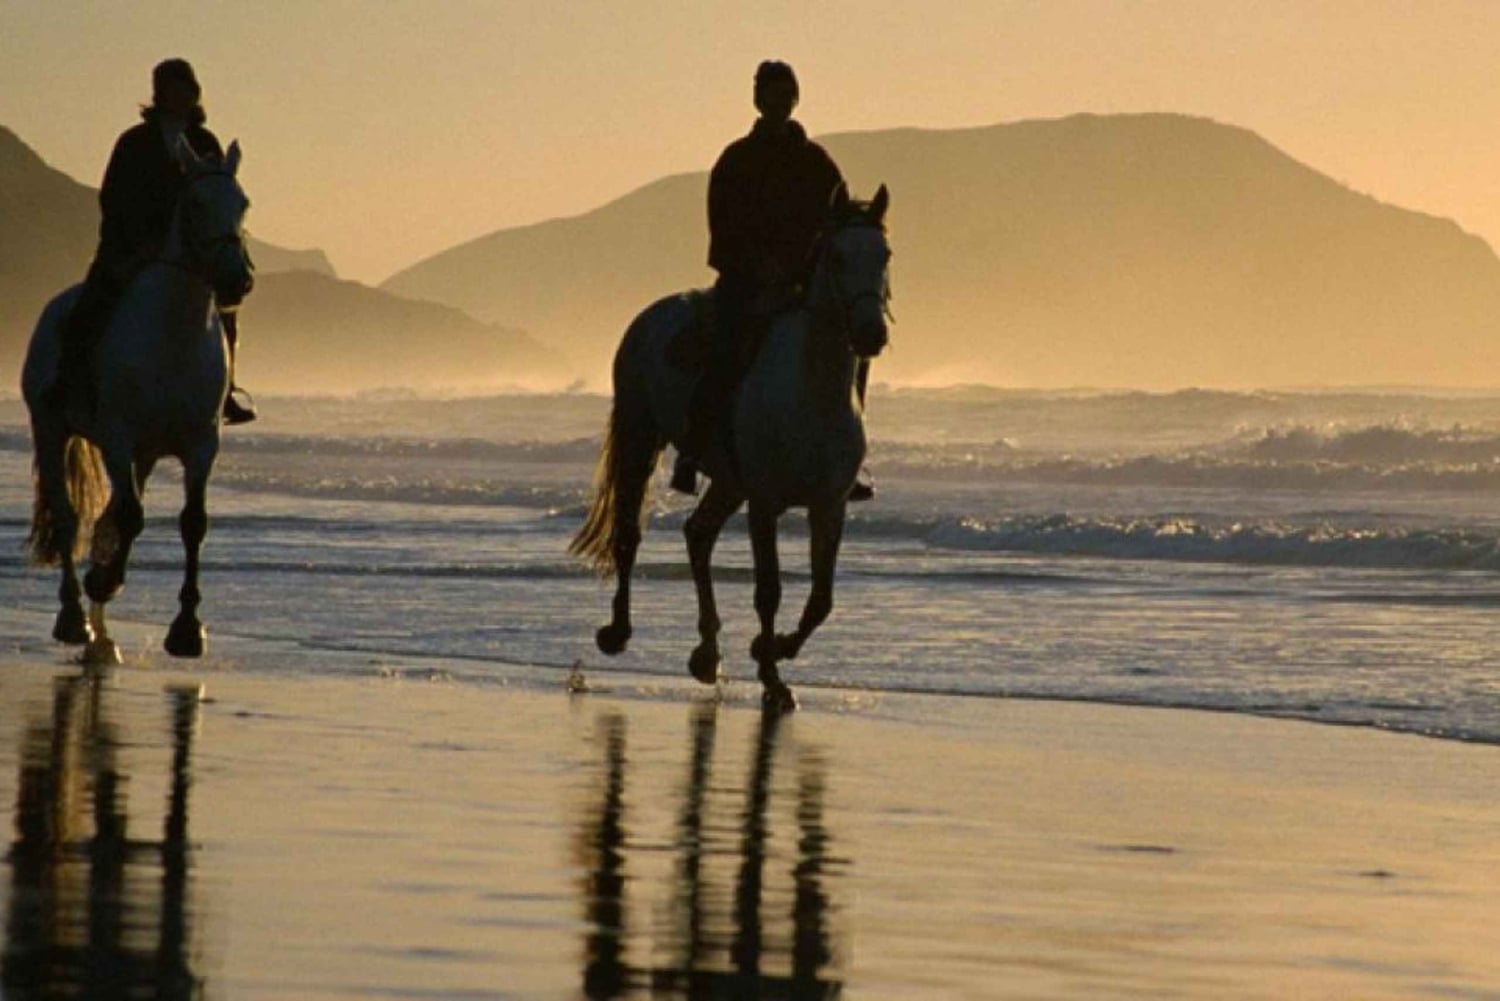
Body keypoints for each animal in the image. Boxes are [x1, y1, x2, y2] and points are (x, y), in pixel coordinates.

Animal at [20, 137, 255, 666]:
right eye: (195, 204)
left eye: (243, 204)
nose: (237, 279)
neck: (173, 338)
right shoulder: (118, 437)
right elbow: (127, 517)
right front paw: (102, 583)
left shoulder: (201, 444)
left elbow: (190, 523)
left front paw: (186, 628)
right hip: (51, 427)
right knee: (68, 516)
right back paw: (76, 617)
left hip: (145, 453)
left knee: (116, 513)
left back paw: (101, 622)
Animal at [571, 183, 891, 711]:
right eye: (838, 256)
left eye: (885, 254)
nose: (871, 333)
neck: (810, 392)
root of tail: (651, 316)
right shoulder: (764, 503)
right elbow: (769, 590)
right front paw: (773, 676)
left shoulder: (829, 505)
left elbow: (821, 599)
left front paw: (774, 648)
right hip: (641, 436)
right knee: (628, 534)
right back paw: (618, 632)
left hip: (727, 479)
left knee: (698, 533)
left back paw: (706, 653)